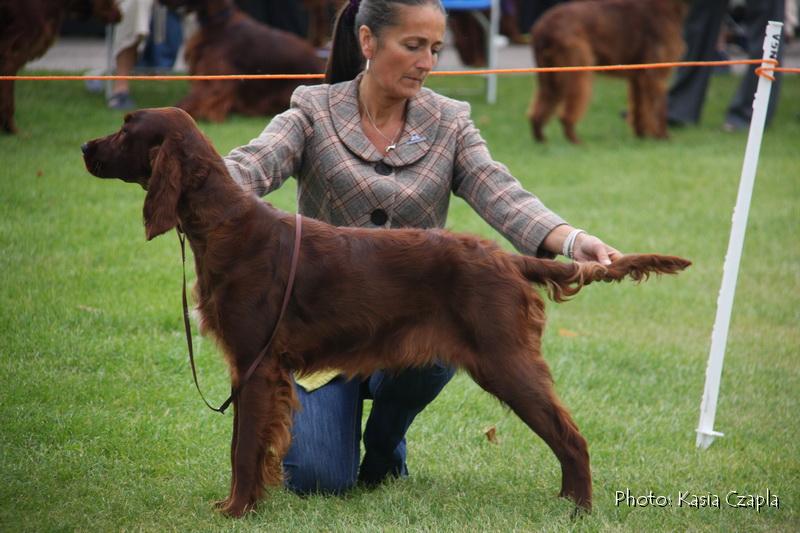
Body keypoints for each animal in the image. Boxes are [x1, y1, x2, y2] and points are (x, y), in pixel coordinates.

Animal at [81, 107, 692, 516]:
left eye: (126, 129)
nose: (85, 146)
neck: (225, 226)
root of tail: (505, 256)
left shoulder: (254, 366)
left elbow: (242, 446)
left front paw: (235, 511)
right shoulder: (256, 370)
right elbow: (249, 445)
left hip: (505, 362)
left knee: (571, 436)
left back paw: (579, 509)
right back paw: (566, 499)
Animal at [532, 0, 688, 143]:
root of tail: (545, 27)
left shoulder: (638, 77)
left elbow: (640, 108)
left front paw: (641, 136)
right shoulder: (654, 74)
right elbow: (658, 108)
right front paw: (663, 136)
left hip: (550, 76)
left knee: (537, 112)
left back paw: (542, 141)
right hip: (577, 70)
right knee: (566, 115)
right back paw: (577, 142)